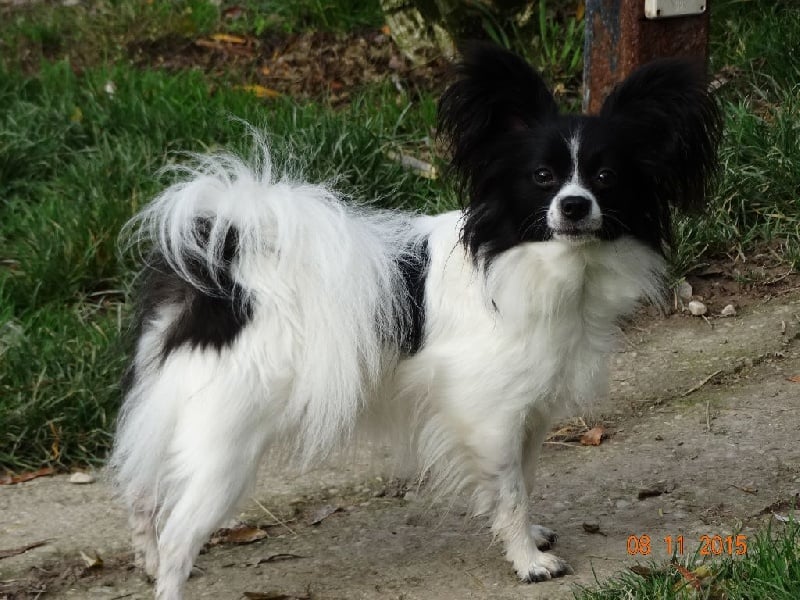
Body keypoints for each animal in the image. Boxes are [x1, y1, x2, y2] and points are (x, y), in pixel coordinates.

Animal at [111, 44, 721, 599]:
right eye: (543, 176)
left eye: (606, 177)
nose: (574, 206)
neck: (534, 261)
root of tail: (224, 267)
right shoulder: (490, 413)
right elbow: (510, 491)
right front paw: (527, 561)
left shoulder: (527, 411)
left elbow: (524, 477)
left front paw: (532, 536)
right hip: (227, 442)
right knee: (179, 533)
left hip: (176, 406)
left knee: (142, 491)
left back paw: (144, 561)